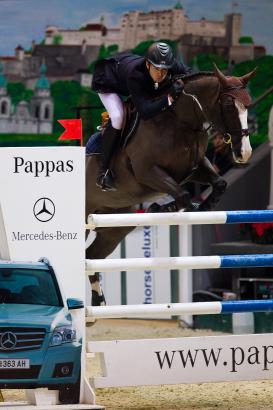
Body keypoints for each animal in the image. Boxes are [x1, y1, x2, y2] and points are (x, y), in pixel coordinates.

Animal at [85, 66, 255, 304]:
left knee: (91, 256)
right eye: (229, 106)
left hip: (116, 224)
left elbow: (218, 184)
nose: (244, 153)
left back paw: (98, 302)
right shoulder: (147, 172)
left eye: (248, 106)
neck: (181, 122)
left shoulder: (194, 168)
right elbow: (183, 195)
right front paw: (163, 208)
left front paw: (200, 208)